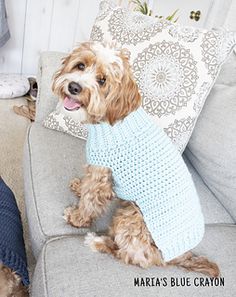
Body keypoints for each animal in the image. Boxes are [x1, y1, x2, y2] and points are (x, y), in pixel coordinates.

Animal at [52, 41, 220, 276]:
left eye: (102, 80)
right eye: (80, 65)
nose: (74, 87)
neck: (111, 120)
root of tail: (182, 255)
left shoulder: (101, 175)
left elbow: (90, 199)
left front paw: (76, 217)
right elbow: (86, 186)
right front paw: (78, 186)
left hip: (132, 219)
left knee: (132, 256)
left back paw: (98, 242)